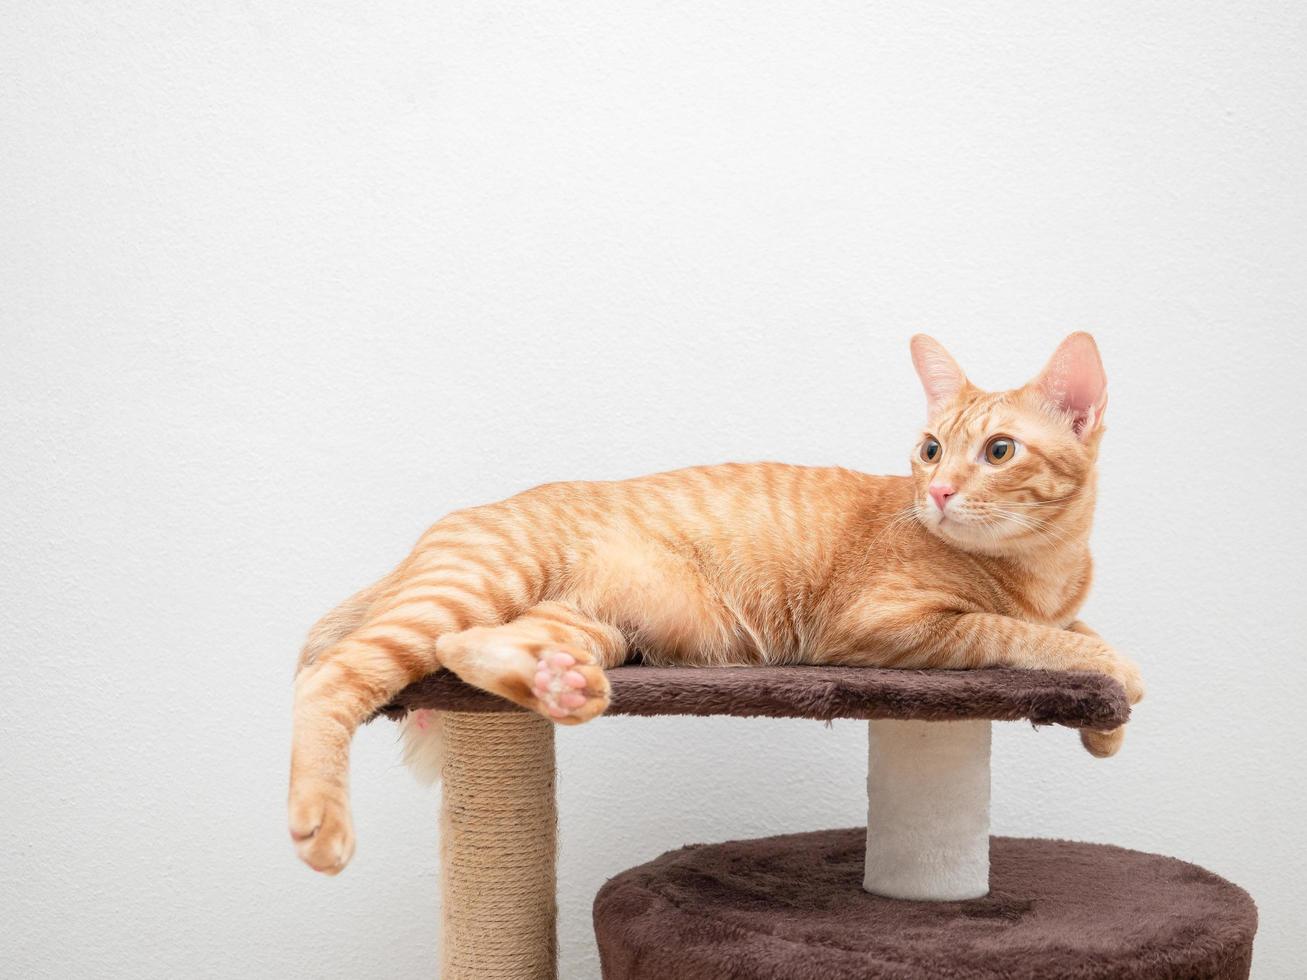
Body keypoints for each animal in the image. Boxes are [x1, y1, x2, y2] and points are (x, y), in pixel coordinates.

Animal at [288, 337, 1144, 872]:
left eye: (997, 452)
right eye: (930, 449)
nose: (935, 492)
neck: (1042, 568)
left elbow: (1067, 628)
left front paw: (1103, 723)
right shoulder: (884, 628)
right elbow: (1020, 632)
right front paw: (1115, 677)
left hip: (589, 625)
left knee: (462, 649)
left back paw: (558, 686)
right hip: (477, 579)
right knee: (336, 674)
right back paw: (322, 822)